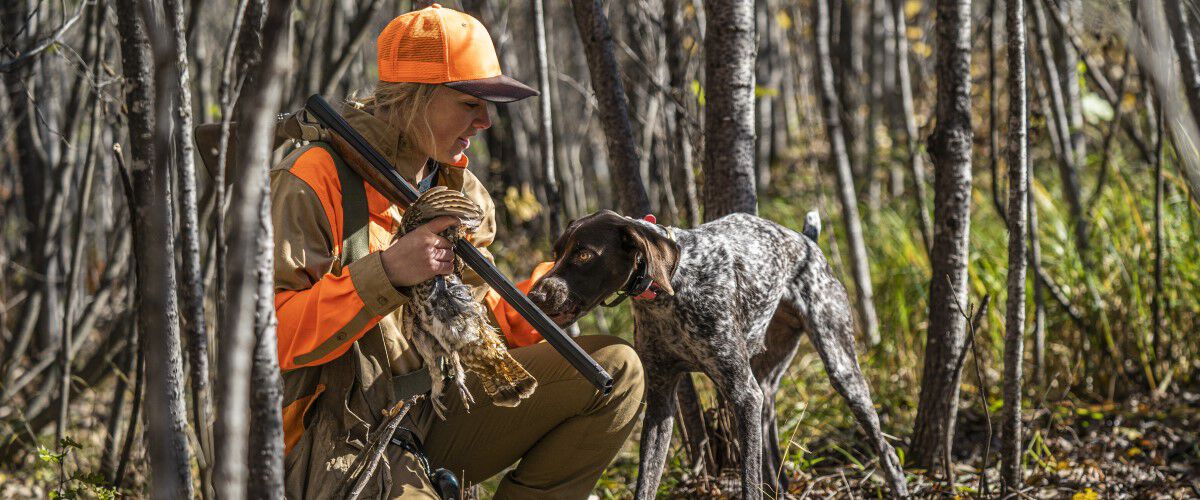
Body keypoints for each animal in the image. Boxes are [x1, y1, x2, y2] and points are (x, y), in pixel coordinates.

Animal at [528, 211, 907, 498]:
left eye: (584, 254)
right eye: (557, 252)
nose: (535, 296)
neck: (672, 288)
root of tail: (807, 241)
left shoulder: (742, 394)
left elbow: (748, 485)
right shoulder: (661, 400)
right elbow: (646, 482)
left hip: (840, 367)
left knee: (886, 449)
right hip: (766, 377)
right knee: (769, 428)